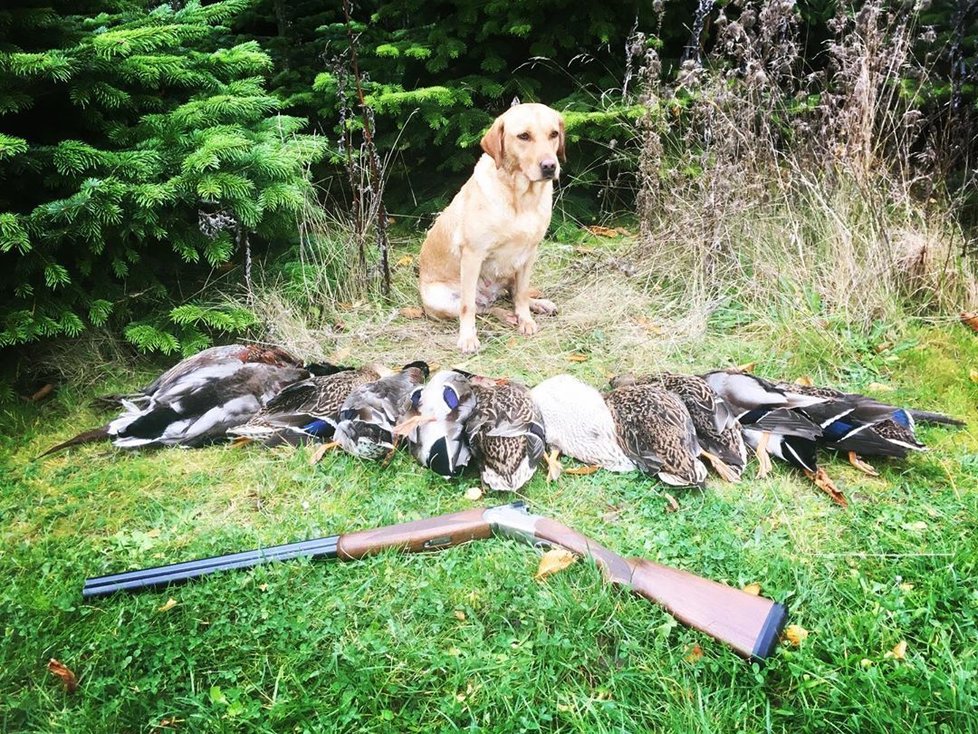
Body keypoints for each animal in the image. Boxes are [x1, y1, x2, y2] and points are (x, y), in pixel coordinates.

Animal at [416, 103, 560, 354]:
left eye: (554, 134)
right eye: (524, 136)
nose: (550, 166)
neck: (521, 198)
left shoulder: (529, 254)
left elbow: (522, 294)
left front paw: (526, 320)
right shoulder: (472, 255)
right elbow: (468, 308)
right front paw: (467, 338)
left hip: (510, 272)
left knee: (511, 295)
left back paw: (537, 305)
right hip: (440, 299)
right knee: (481, 307)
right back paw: (504, 315)